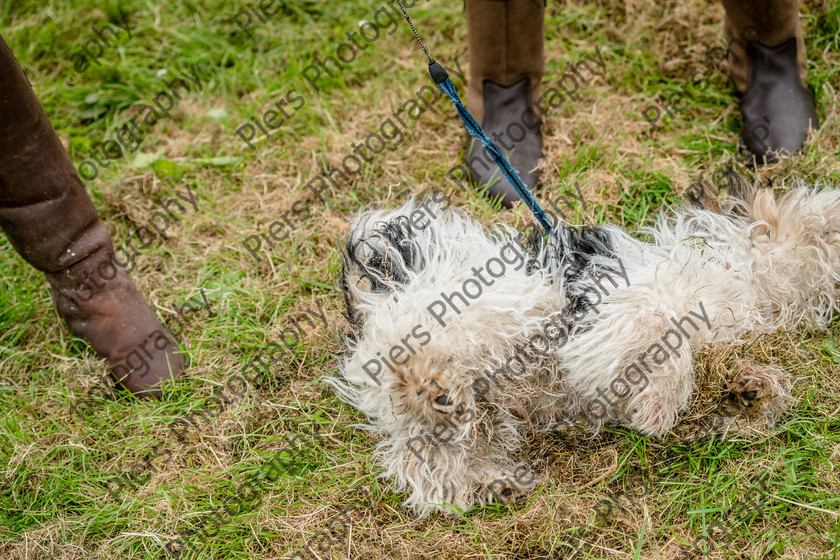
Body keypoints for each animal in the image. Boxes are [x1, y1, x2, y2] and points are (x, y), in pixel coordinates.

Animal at [328, 183, 840, 516]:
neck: (741, 273)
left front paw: (752, 390)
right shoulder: (617, 308)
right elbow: (668, 339)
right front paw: (660, 403)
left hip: (473, 409)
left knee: (422, 458)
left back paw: (486, 476)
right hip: (465, 313)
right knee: (409, 366)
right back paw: (433, 387)